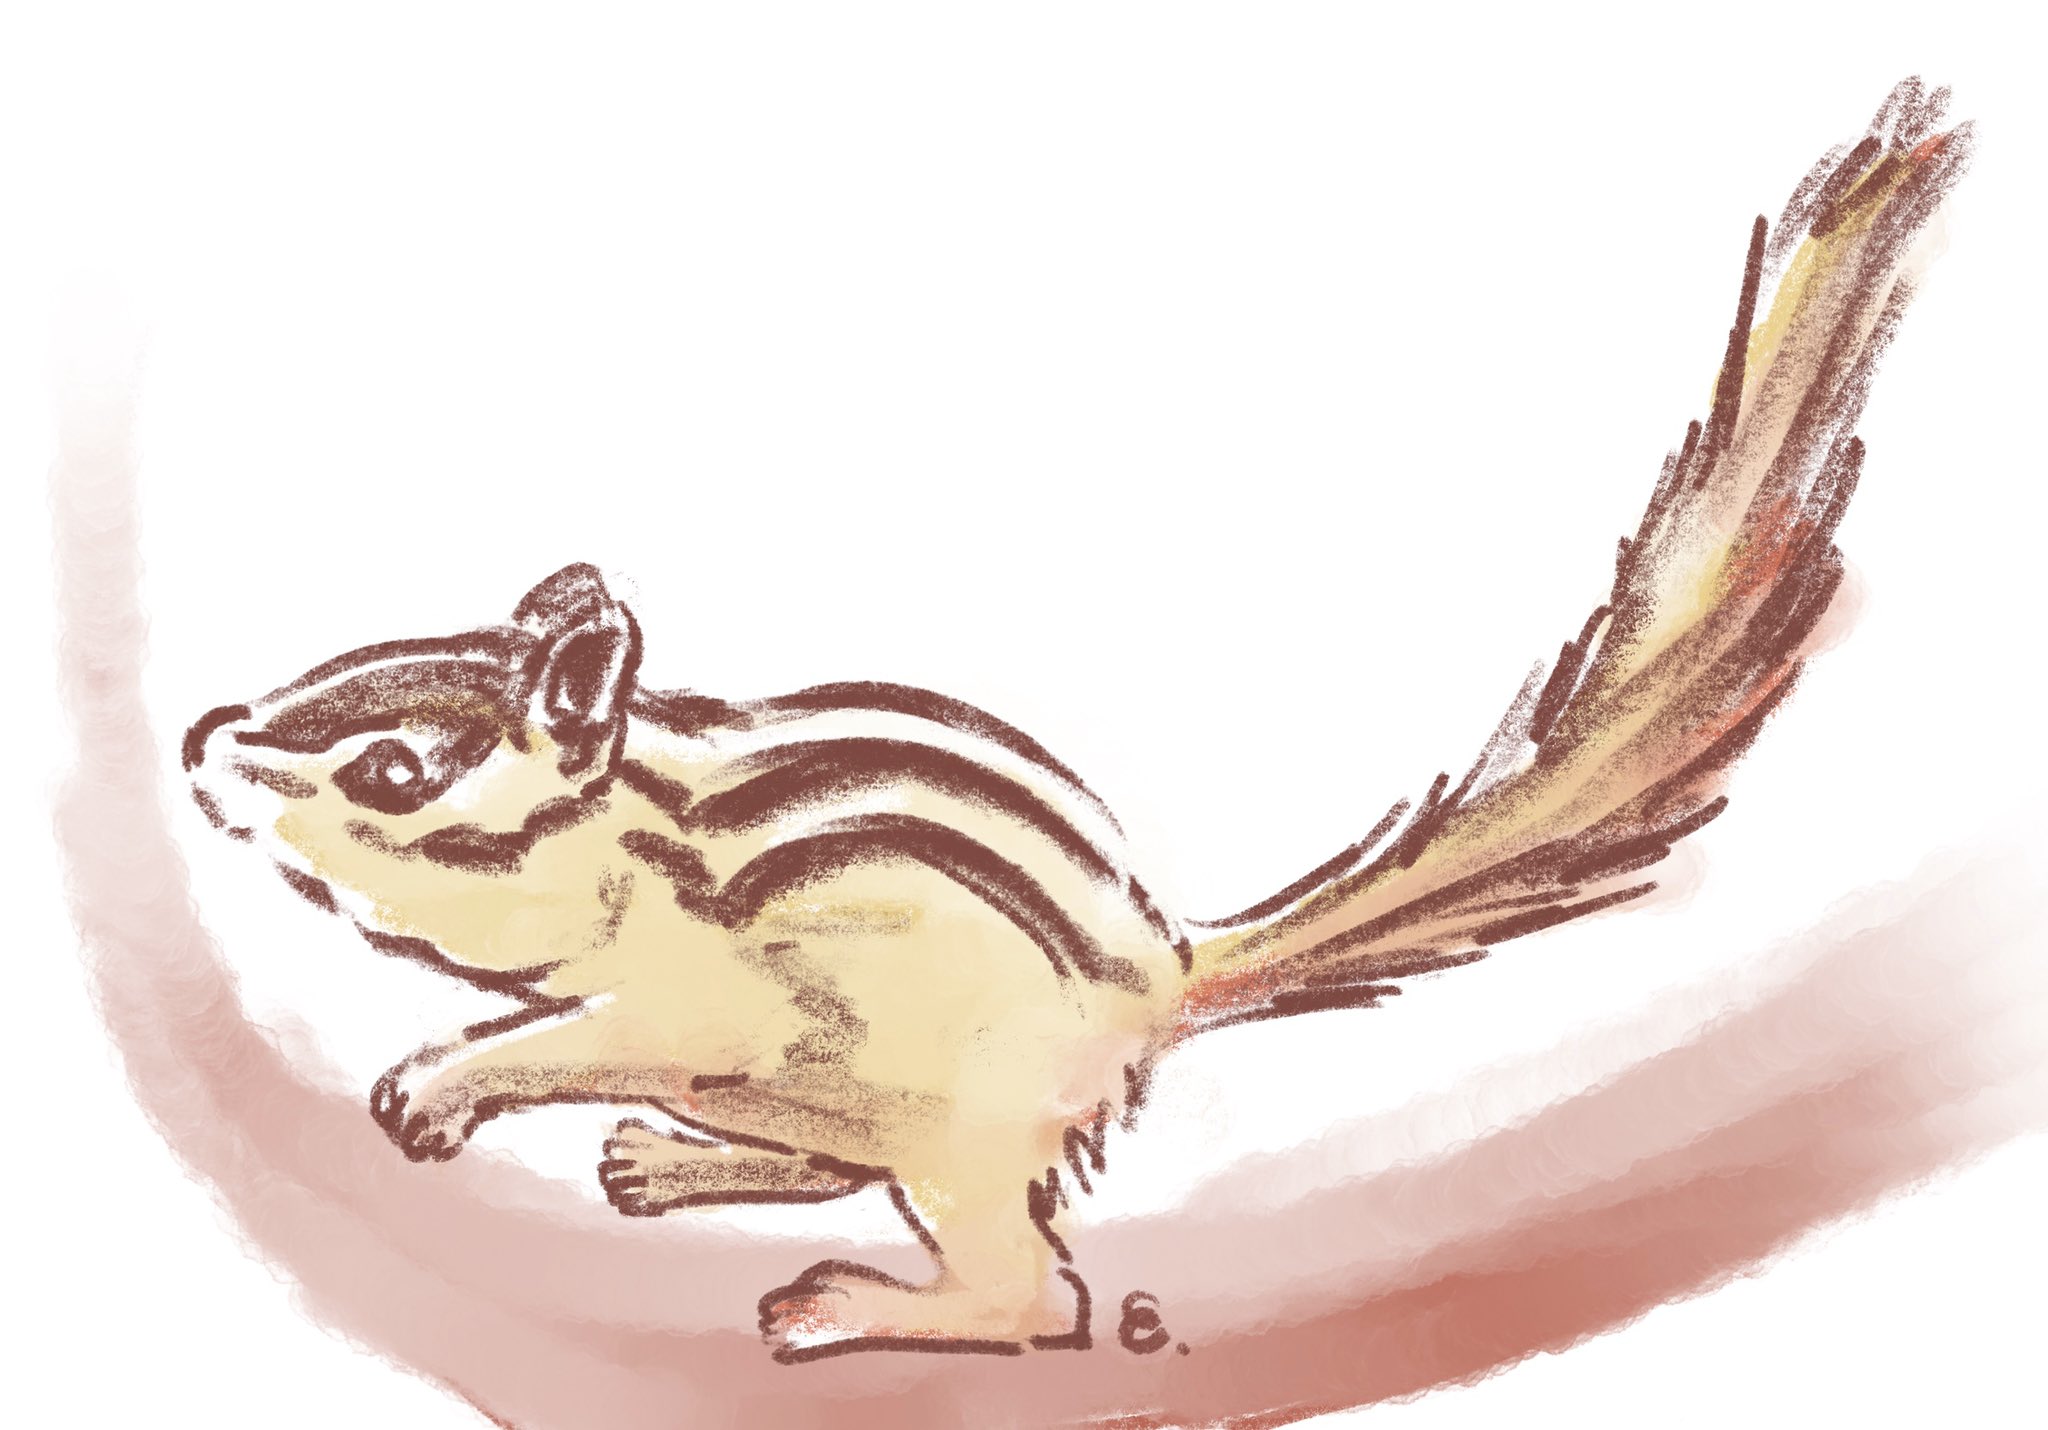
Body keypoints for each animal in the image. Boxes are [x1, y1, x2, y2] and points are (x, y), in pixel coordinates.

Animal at [181, 92, 1964, 1363]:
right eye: (346, 667)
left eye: (394, 769)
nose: (202, 747)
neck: (645, 846)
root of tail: (1158, 985)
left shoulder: (703, 994)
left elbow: (587, 1028)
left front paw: (443, 1079)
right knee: (821, 1160)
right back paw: (676, 1170)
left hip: (954, 1140)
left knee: (1034, 1297)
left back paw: (843, 1301)